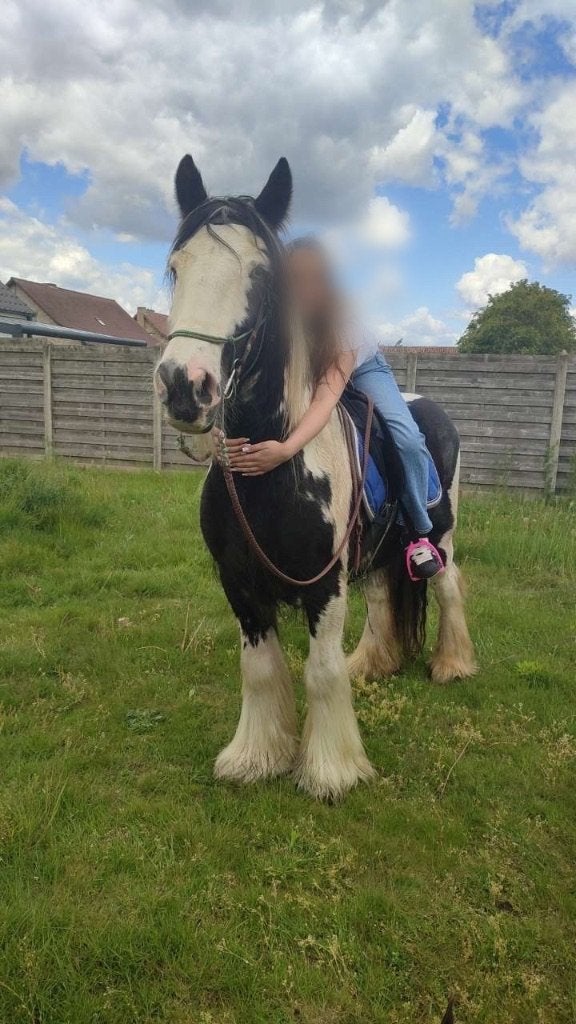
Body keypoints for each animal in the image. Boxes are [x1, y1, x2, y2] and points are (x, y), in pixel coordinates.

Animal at [154, 154, 477, 800]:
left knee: (449, 586)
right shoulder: (238, 582)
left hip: (442, 536)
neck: (273, 470)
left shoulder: (324, 584)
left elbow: (321, 671)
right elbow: (259, 670)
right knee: (382, 599)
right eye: (177, 269)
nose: (183, 387)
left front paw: (331, 769)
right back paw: (373, 664)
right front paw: (255, 757)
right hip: (376, 555)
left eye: (260, 277)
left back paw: (451, 665)